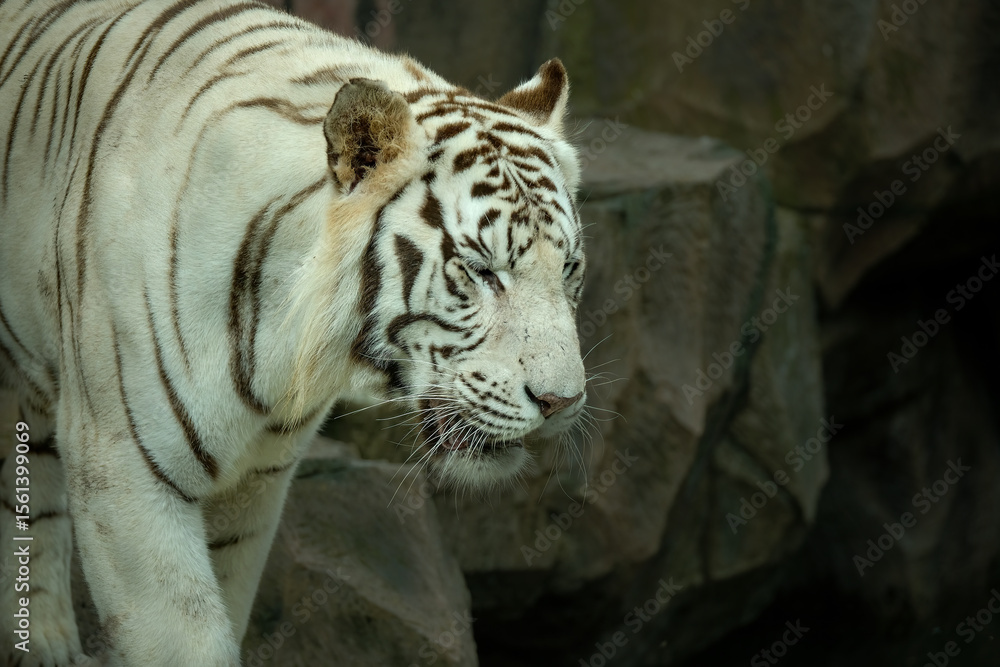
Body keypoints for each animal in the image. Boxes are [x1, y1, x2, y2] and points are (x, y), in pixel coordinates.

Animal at [0, 0, 588, 664]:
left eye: (570, 268)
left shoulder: (254, 482)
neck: (280, 342)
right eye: (482, 271)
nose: (562, 402)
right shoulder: (124, 466)